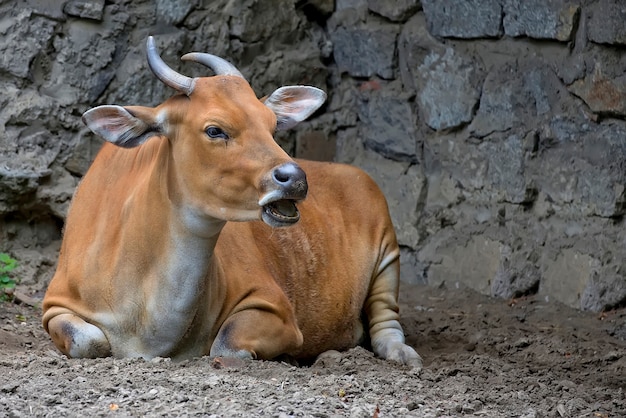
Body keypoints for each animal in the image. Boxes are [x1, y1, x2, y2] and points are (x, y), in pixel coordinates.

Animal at [41, 37, 422, 368]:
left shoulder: (275, 308)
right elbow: (88, 341)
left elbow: (226, 345)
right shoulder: (55, 308)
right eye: (215, 129)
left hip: (388, 256)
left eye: (272, 125)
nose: (294, 178)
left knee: (386, 320)